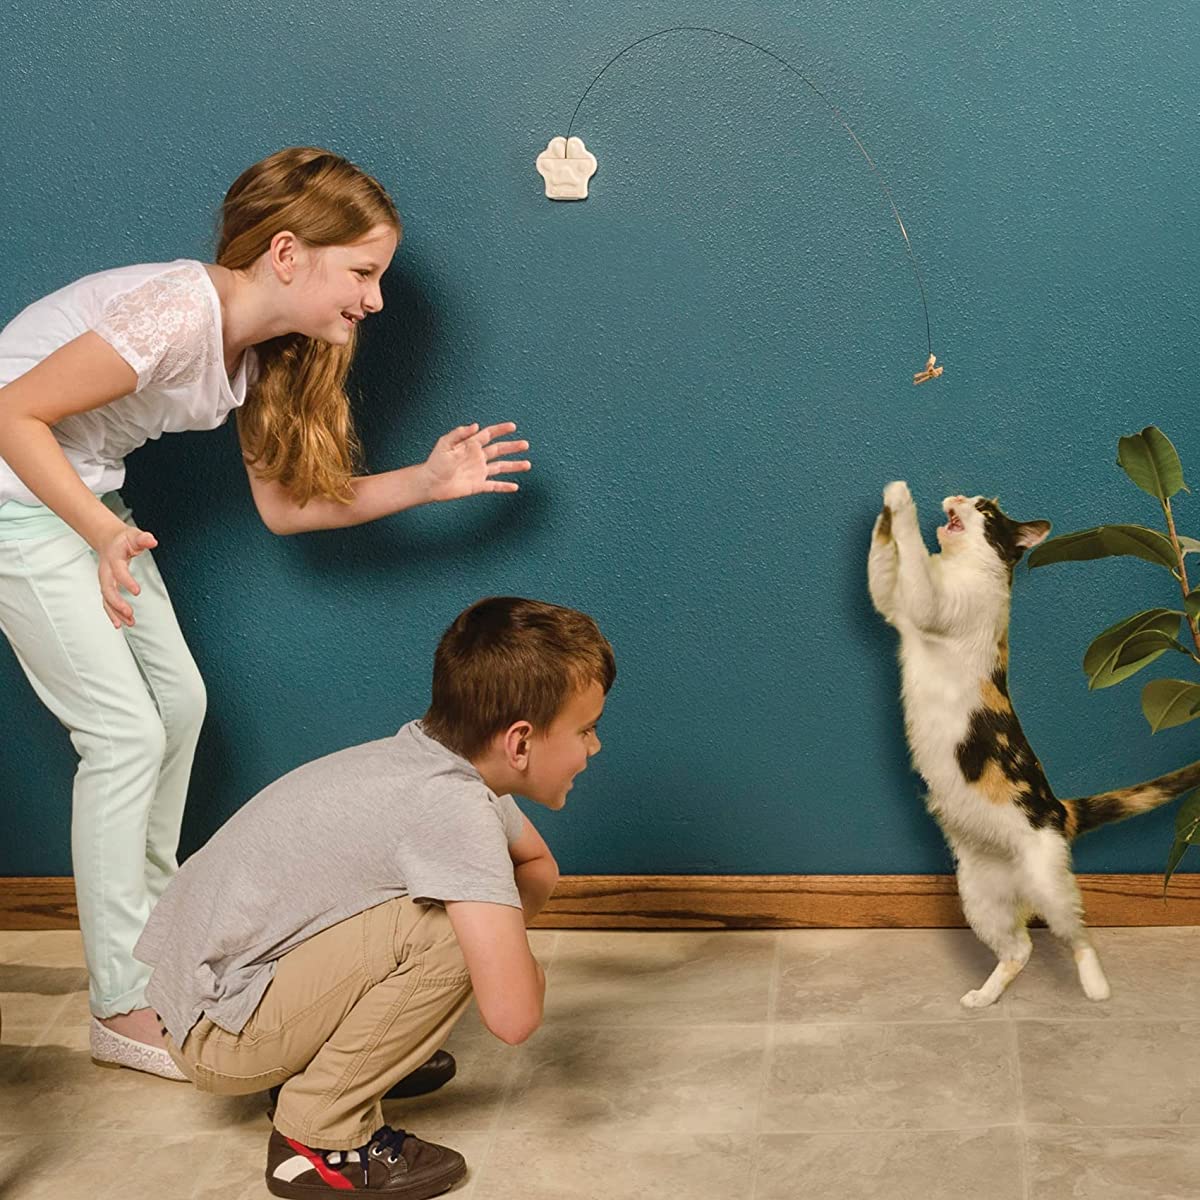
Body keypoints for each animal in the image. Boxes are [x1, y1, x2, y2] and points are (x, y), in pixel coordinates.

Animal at [868, 482, 1200, 1008]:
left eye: (984, 511)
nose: (958, 499)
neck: (958, 565)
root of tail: (1059, 809)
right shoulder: (893, 605)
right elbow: (882, 566)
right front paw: (884, 509)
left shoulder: (930, 604)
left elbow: (914, 555)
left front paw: (902, 501)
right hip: (978, 895)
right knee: (1019, 949)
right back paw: (982, 998)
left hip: (1050, 887)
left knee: (1078, 933)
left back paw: (1097, 988)